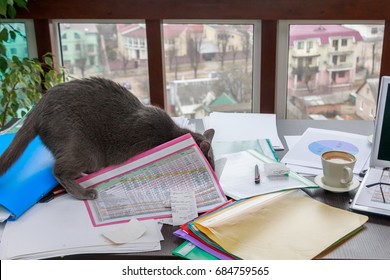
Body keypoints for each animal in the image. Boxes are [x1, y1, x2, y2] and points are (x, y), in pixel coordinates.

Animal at [0, 77, 215, 200]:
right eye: (211, 160)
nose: (213, 170)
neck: (174, 134)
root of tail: (39, 105)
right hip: (83, 149)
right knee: (58, 170)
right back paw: (84, 192)